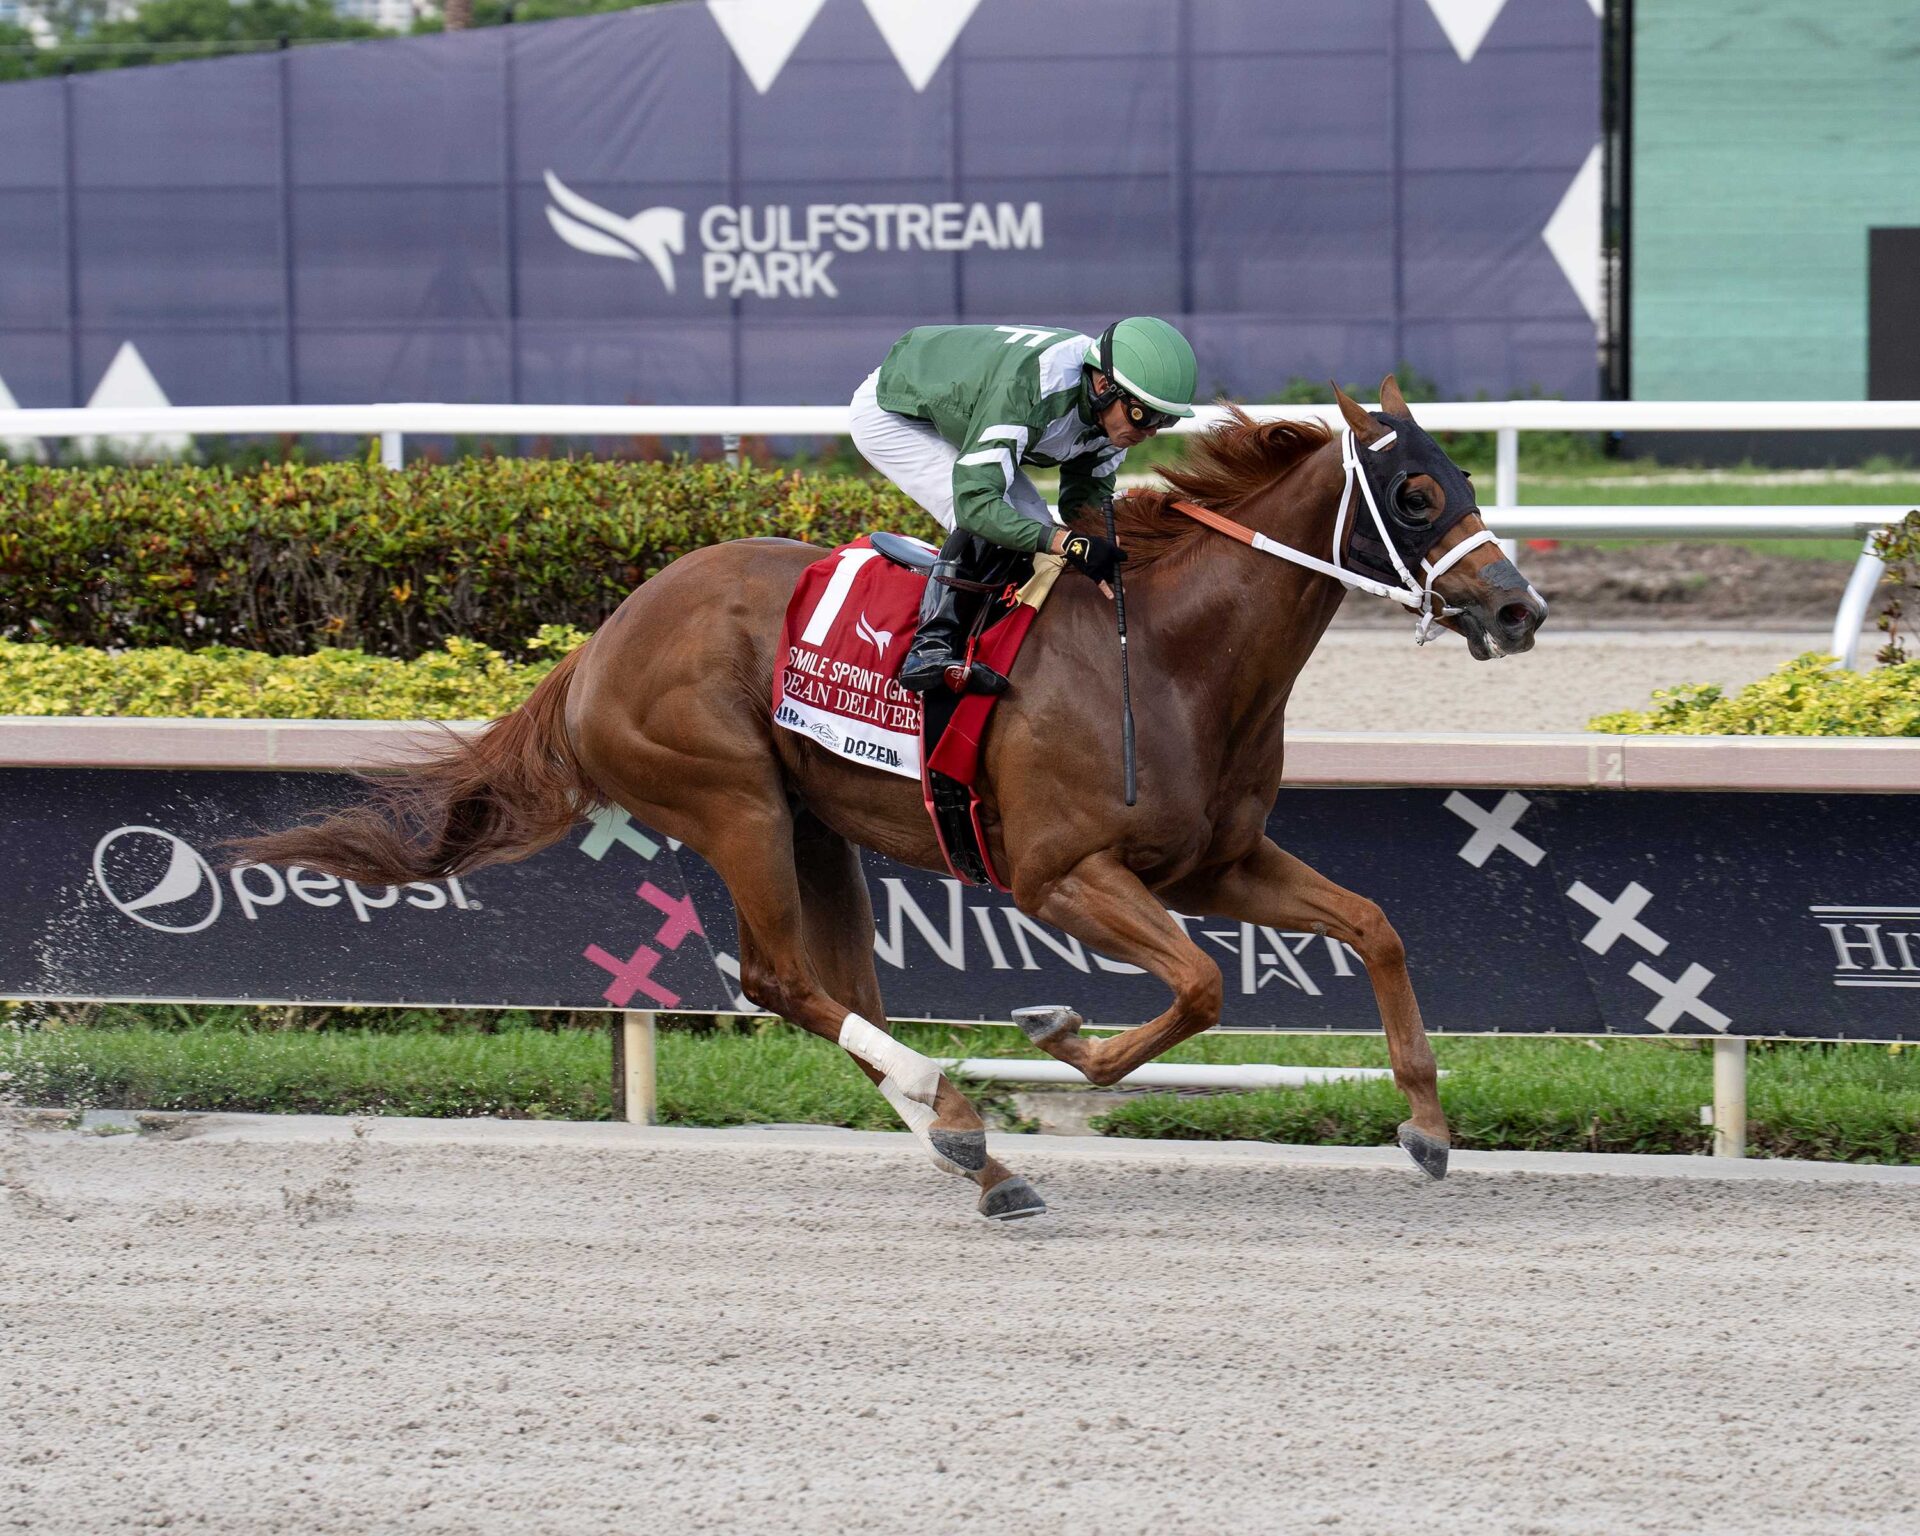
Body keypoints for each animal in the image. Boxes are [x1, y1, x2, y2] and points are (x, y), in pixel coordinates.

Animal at [234, 377, 1548, 1220]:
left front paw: (1428, 1128)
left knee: (840, 994)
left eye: (1461, 475)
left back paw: (978, 1159)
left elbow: (1374, 926)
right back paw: (953, 1111)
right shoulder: (1059, 875)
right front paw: (1061, 1035)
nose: (1520, 606)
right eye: (1415, 495)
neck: (1170, 655)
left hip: (819, 831)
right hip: (734, 803)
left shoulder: (1217, 862)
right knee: (777, 981)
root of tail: (605, 637)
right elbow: (1199, 987)